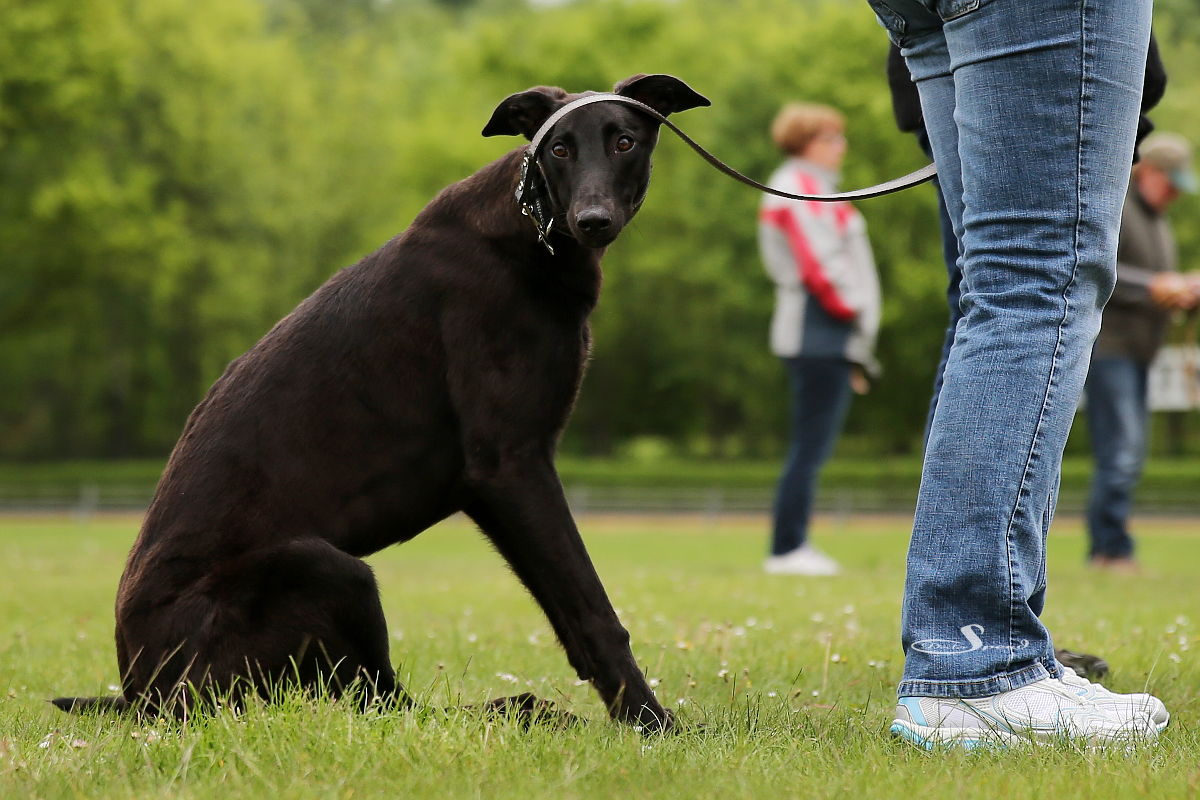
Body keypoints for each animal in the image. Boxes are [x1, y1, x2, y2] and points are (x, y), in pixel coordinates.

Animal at [51, 74, 709, 731]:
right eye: (559, 149)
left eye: (624, 141)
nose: (592, 220)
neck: (531, 232)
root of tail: (138, 693)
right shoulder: (510, 464)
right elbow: (595, 613)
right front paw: (657, 726)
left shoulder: (500, 484)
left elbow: (572, 618)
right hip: (325, 568)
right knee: (384, 705)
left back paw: (524, 710)